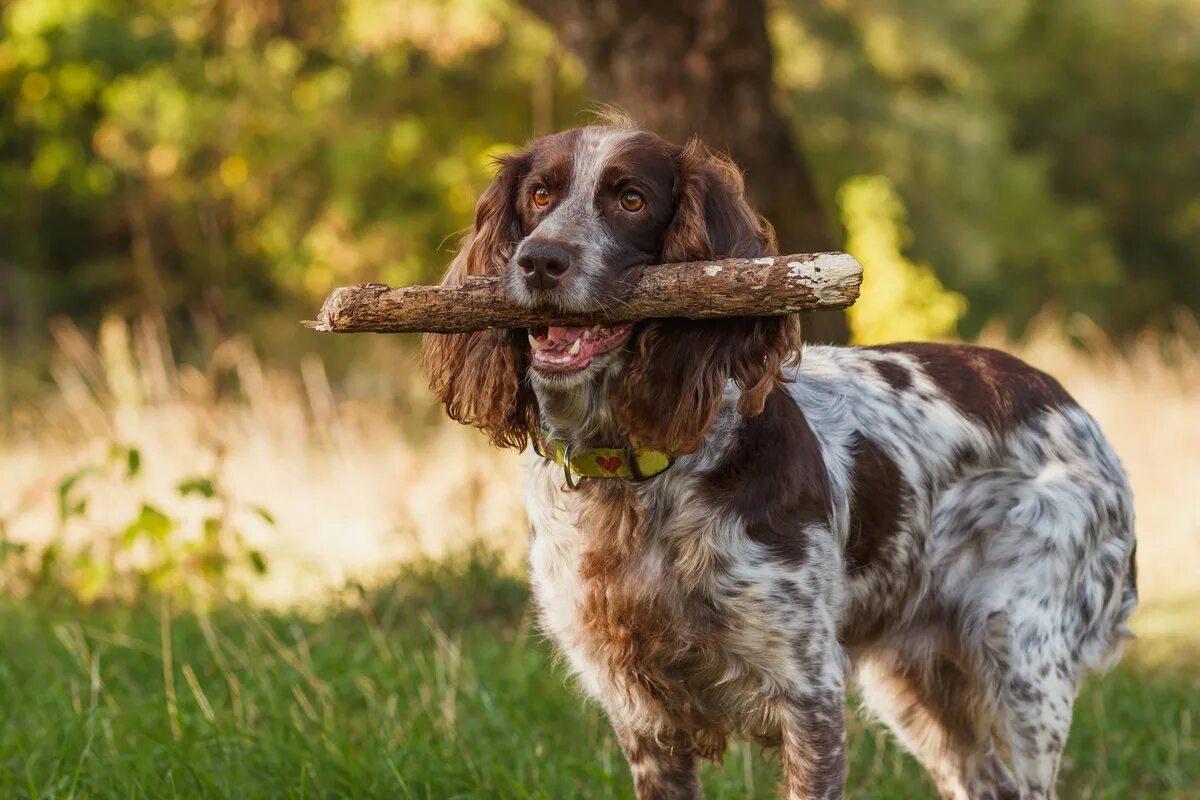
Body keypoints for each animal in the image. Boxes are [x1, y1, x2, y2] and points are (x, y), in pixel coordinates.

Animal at [427, 125, 1137, 800]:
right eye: (539, 196)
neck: (636, 482)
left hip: (1023, 661)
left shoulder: (809, 694)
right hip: (918, 685)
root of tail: (1072, 406)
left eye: (631, 200)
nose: (540, 260)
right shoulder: (641, 717)